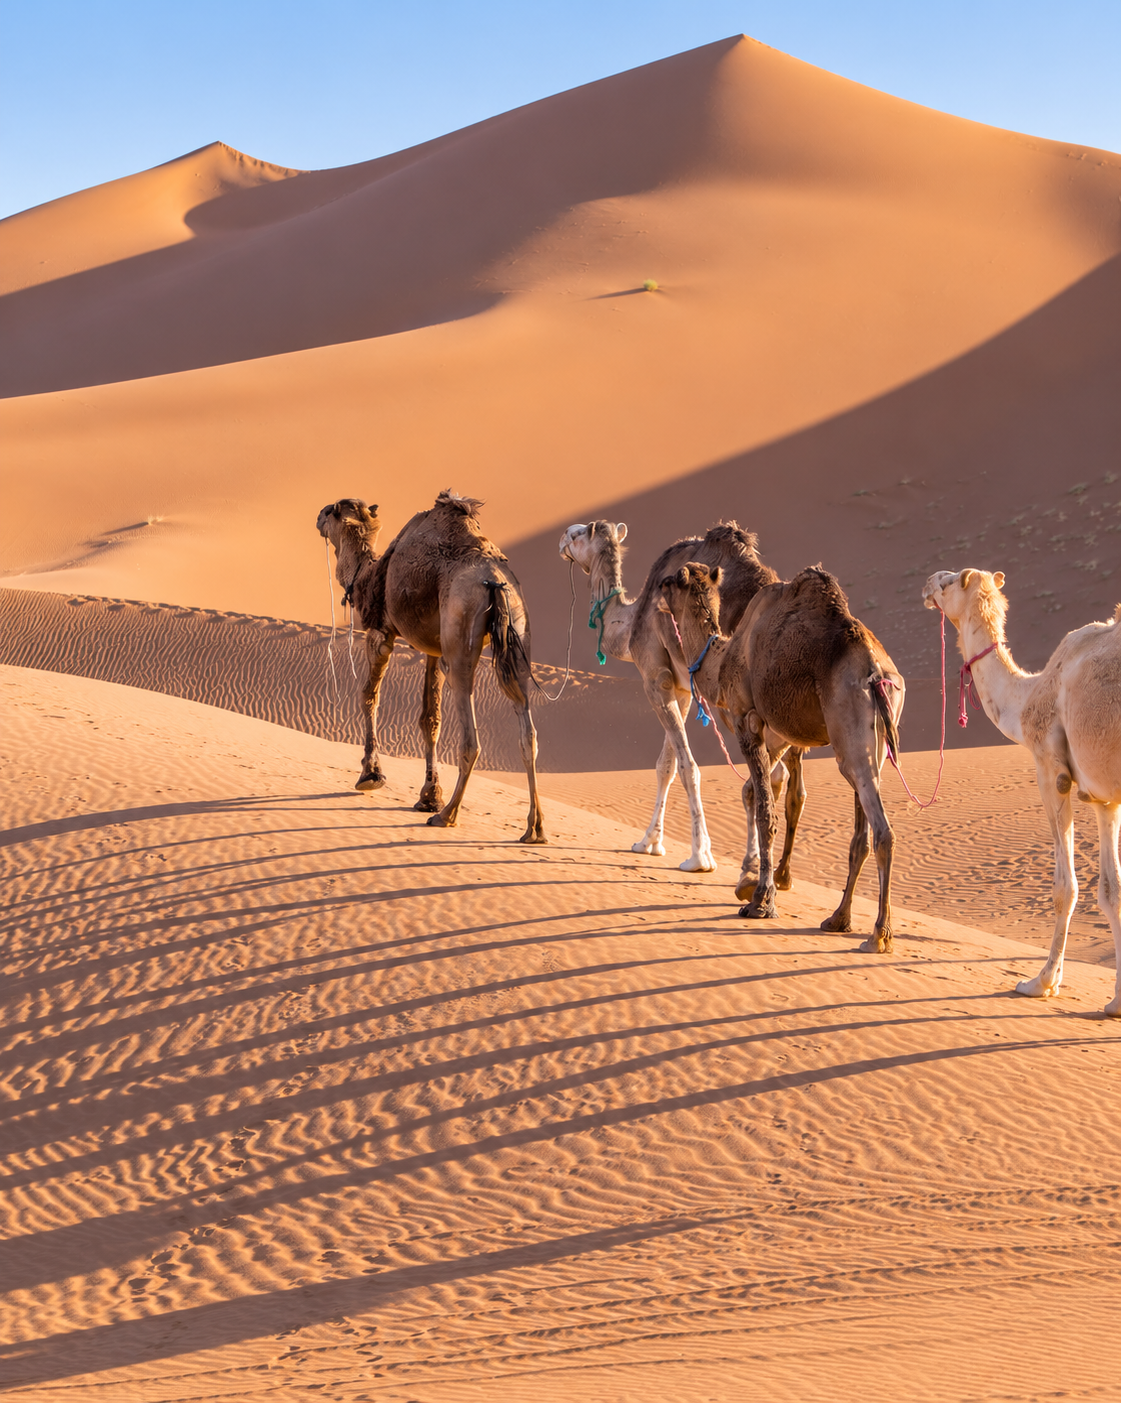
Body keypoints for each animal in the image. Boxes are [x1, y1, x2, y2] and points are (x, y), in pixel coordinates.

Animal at [317, 492, 546, 843]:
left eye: (332, 510)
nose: (317, 515)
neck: (367, 576)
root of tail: (494, 581)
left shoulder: (381, 632)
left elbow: (368, 697)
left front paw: (371, 775)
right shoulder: (433, 650)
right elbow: (430, 719)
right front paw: (428, 795)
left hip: (461, 637)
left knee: (470, 738)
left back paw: (447, 815)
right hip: (517, 634)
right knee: (528, 732)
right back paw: (534, 828)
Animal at [559, 520, 806, 885]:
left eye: (578, 535)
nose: (561, 539)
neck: (630, 623)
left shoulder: (655, 677)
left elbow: (688, 766)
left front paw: (700, 856)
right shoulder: (683, 688)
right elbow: (667, 765)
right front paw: (649, 842)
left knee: (766, 778)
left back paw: (752, 869)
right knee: (786, 780)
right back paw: (777, 874)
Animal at [660, 563, 905, 953]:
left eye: (669, 581)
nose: (655, 591)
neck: (723, 658)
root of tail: (879, 674)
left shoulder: (748, 720)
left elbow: (765, 811)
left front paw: (760, 901)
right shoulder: (778, 734)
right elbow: (763, 795)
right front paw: (755, 885)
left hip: (850, 735)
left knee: (883, 832)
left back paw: (879, 934)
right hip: (874, 744)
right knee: (863, 835)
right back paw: (839, 919)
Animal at [923, 569, 1121, 1015]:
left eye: (948, 582)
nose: (927, 584)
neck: (1029, 695)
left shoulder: (1051, 770)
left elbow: (1066, 888)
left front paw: (1040, 982)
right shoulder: (1104, 797)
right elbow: (1111, 891)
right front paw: (1117, 1000)